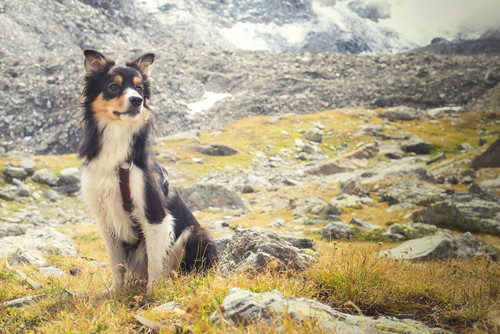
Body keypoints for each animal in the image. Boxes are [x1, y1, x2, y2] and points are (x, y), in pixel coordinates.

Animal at [78, 49, 219, 292]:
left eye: (140, 89)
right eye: (113, 86)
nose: (137, 100)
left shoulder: (155, 214)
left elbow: (154, 263)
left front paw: (153, 293)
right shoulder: (106, 219)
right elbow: (117, 264)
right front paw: (116, 293)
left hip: (194, 233)